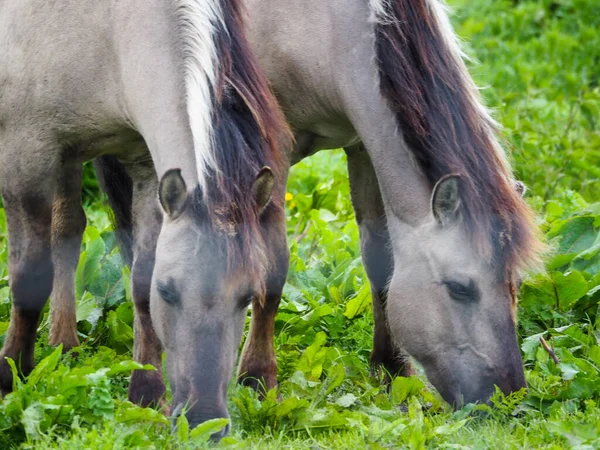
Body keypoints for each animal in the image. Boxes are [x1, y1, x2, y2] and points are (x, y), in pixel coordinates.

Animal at [0, 0, 290, 436]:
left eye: (245, 297)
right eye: (168, 292)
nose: (206, 421)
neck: (107, 27)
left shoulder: (145, 165)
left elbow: (139, 279)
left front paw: (146, 392)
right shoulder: (25, 156)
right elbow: (29, 277)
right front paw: (11, 375)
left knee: (67, 228)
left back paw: (64, 343)